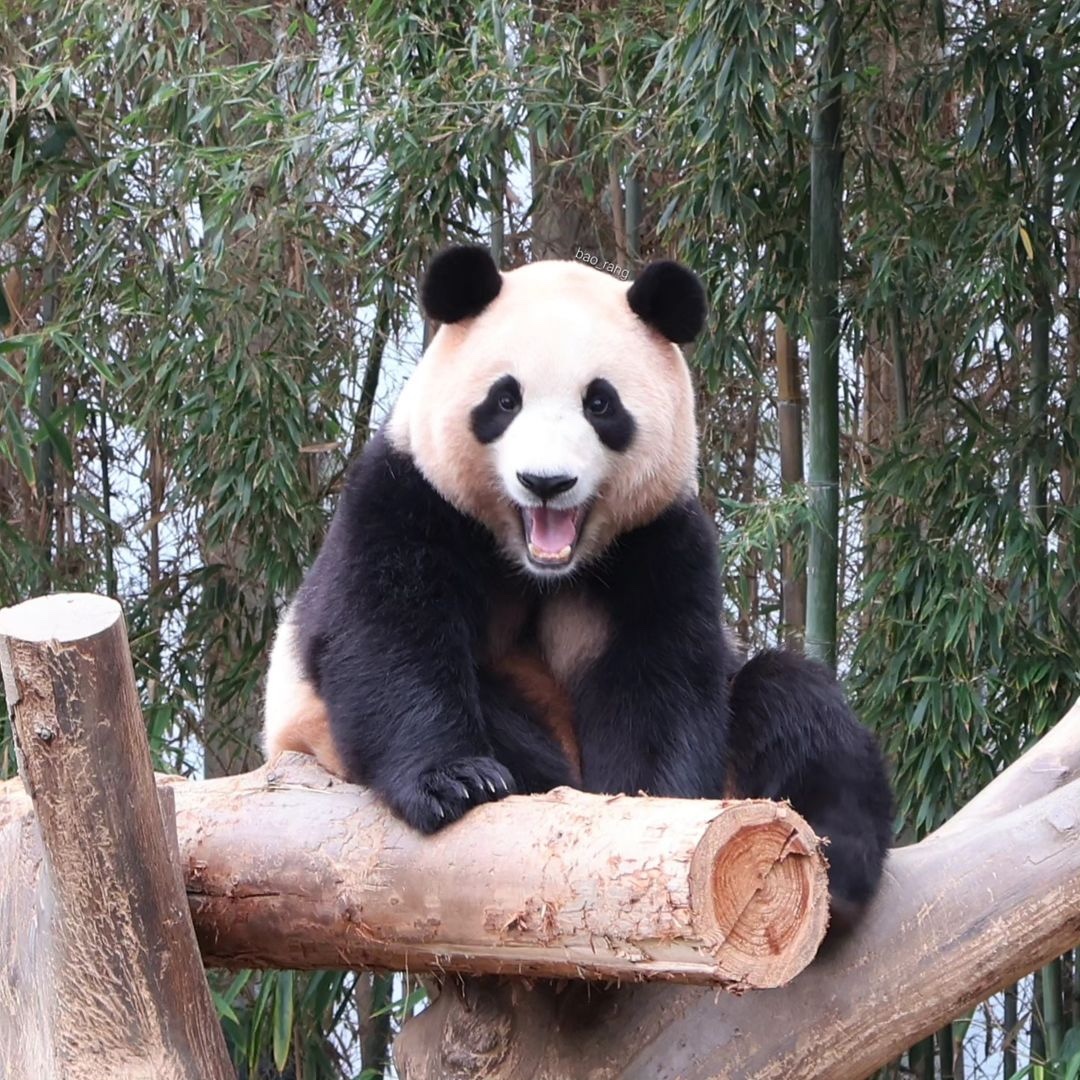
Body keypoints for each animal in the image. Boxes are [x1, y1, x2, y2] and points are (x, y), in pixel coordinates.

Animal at [265, 245, 889, 928]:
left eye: (601, 404)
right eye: (504, 400)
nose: (546, 482)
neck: (534, 563)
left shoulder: (656, 540)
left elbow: (659, 676)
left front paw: (645, 803)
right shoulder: (406, 497)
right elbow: (386, 637)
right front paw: (454, 781)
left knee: (795, 701)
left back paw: (836, 870)